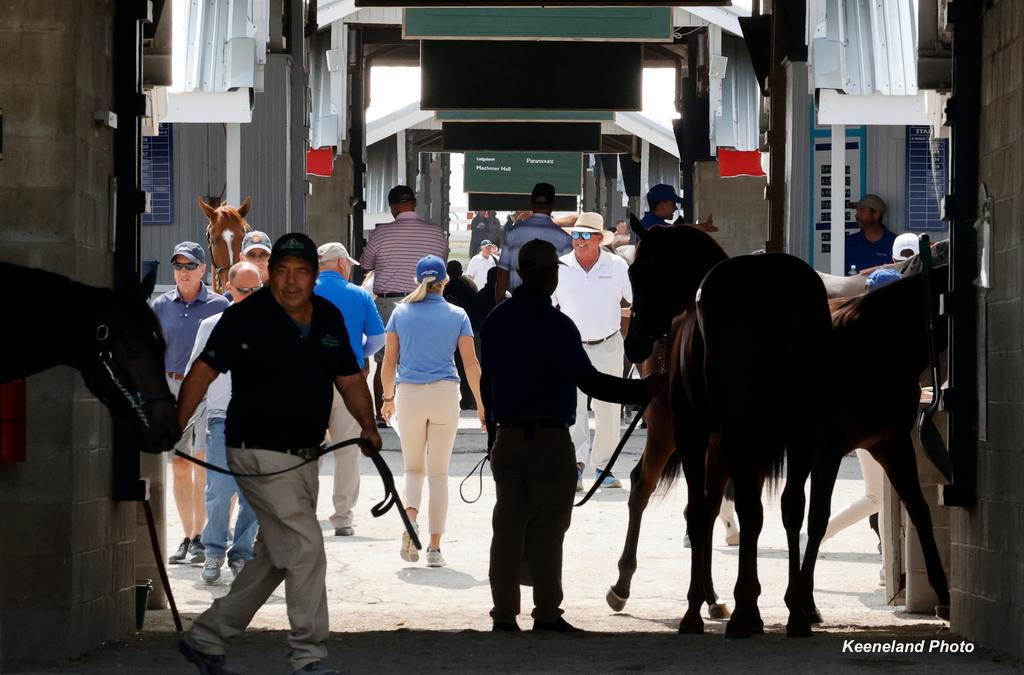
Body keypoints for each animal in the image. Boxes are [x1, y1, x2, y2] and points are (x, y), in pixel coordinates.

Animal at [614, 218, 831, 639]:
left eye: (639, 272)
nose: (633, 344)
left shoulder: (695, 434)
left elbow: (701, 510)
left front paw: (698, 608)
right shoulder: (748, 442)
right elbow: (734, 510)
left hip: (689, 432)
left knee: (670, 493)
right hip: (794, 434)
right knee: (787, 508)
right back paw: (791, 612)